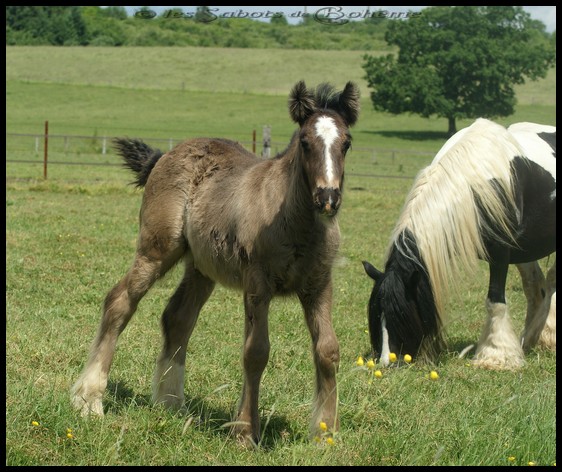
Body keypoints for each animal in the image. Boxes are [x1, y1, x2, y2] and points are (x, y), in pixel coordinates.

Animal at [70, 81, 358, 446]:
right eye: (306, 142)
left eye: (346, 143)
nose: (328, 198)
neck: (295, 224)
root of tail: (166, 155)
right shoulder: (257, 285)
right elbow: (256, 352)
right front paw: (245, 432)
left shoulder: (319, 285)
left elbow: (328, 350)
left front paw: (325, 432)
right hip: (157, 250)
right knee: (120, 301)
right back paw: (89, 400)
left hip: (201, 267)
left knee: (178, 317)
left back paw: (170, 401)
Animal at [360, 118, 552, 368]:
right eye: (376, 315)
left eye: (401, 315)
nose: (386, 361)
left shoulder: (501, 253)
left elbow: (495, 301)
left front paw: (496, 356)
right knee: (537, 289)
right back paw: (530, 340)